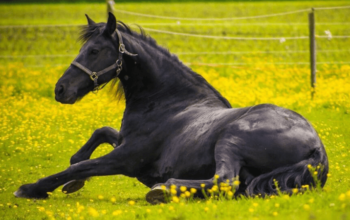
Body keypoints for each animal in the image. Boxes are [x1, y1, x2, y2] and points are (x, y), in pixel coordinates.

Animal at [13, 12, 328, 204]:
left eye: (94, 51)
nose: (60, 89)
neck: (170, 102)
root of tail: (317, 147)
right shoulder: (123, 141)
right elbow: (99, 134)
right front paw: (75, 177)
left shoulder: (126, 158)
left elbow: (78, 166)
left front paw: (31, 188)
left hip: (230, 139)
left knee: (224, 181)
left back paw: (163, 188)